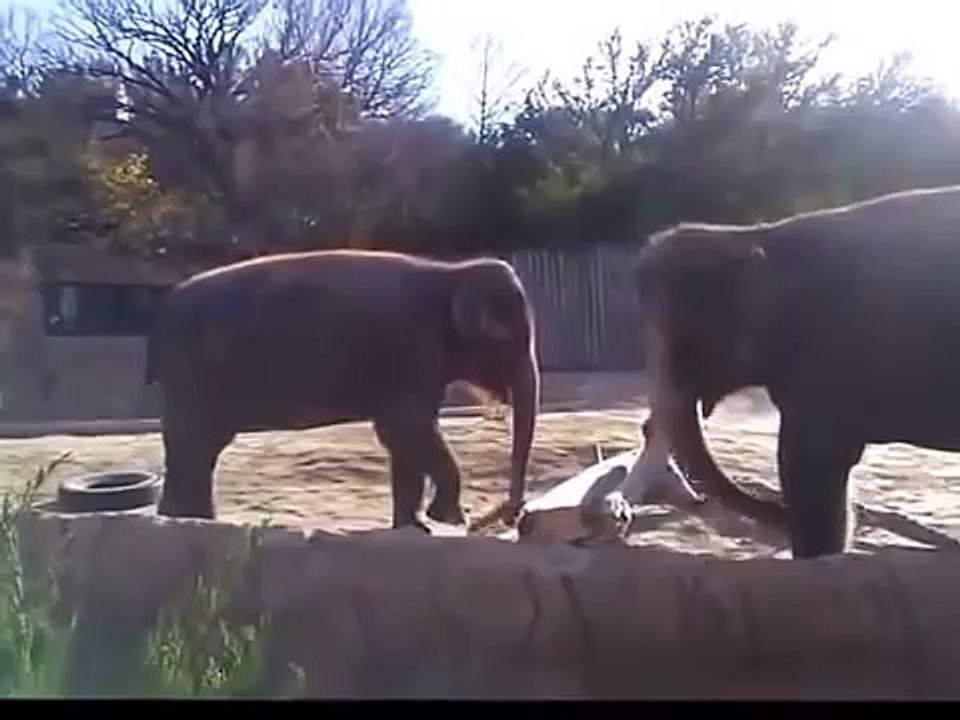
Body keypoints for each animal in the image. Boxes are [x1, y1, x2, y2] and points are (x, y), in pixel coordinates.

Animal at [144, 248, 541, 533]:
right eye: (514, 340)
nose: (508, 516)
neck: (453, 272)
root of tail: (162, 314)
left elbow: (404, 436)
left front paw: (415, 528)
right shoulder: (410, 349)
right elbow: (404, 428)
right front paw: (448, 519)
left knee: (199, 449)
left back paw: (187, 519)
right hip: (194, 375)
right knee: (193, 443)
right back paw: (185, 521)